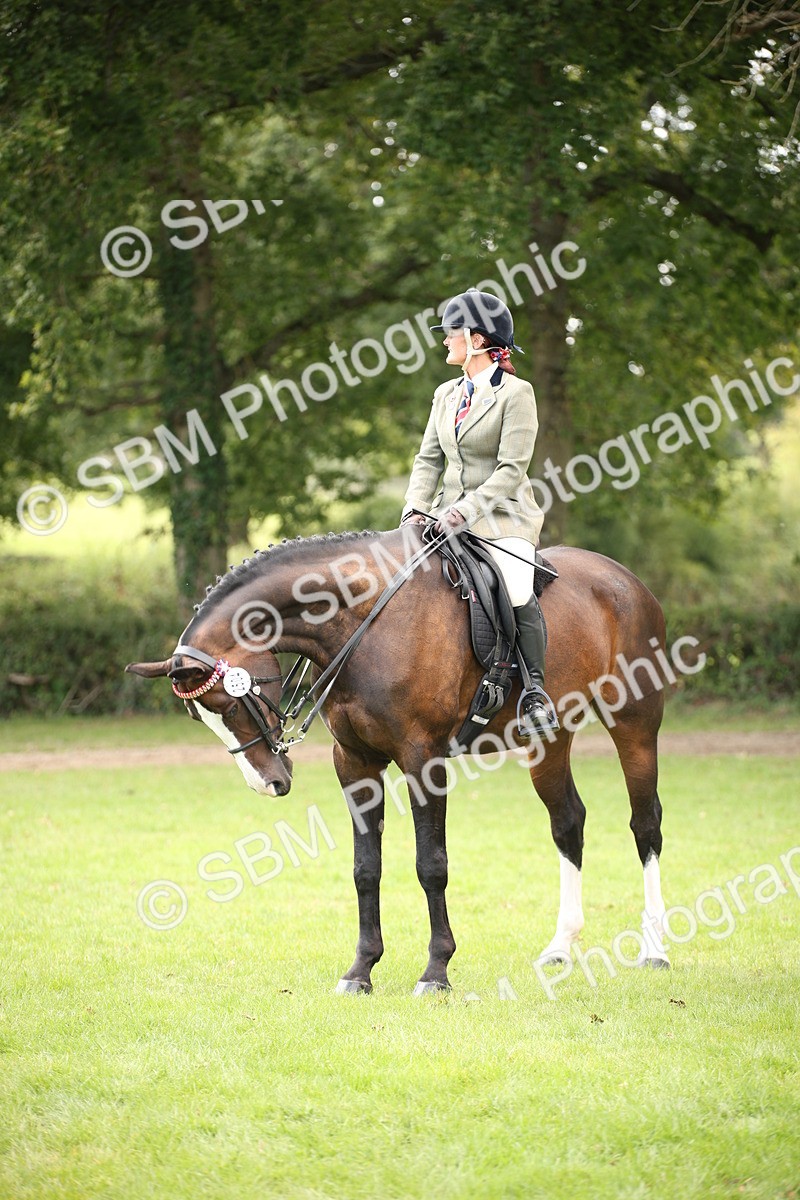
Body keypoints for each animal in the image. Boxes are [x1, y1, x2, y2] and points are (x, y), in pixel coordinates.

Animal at [126, 525, 672, 994]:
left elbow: (431, 865)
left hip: (635, 724)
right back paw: (560, 947)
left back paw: (654, 949)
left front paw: (436, 971)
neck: (365, 621)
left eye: (227, 704)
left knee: (645, 823)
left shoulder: (422, 758)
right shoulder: (355, 762)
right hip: (549, 740)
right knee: (568, 823)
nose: (267, 783)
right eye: (200, 717)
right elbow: (365, 868)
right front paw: (361, 970)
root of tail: (623, 578)